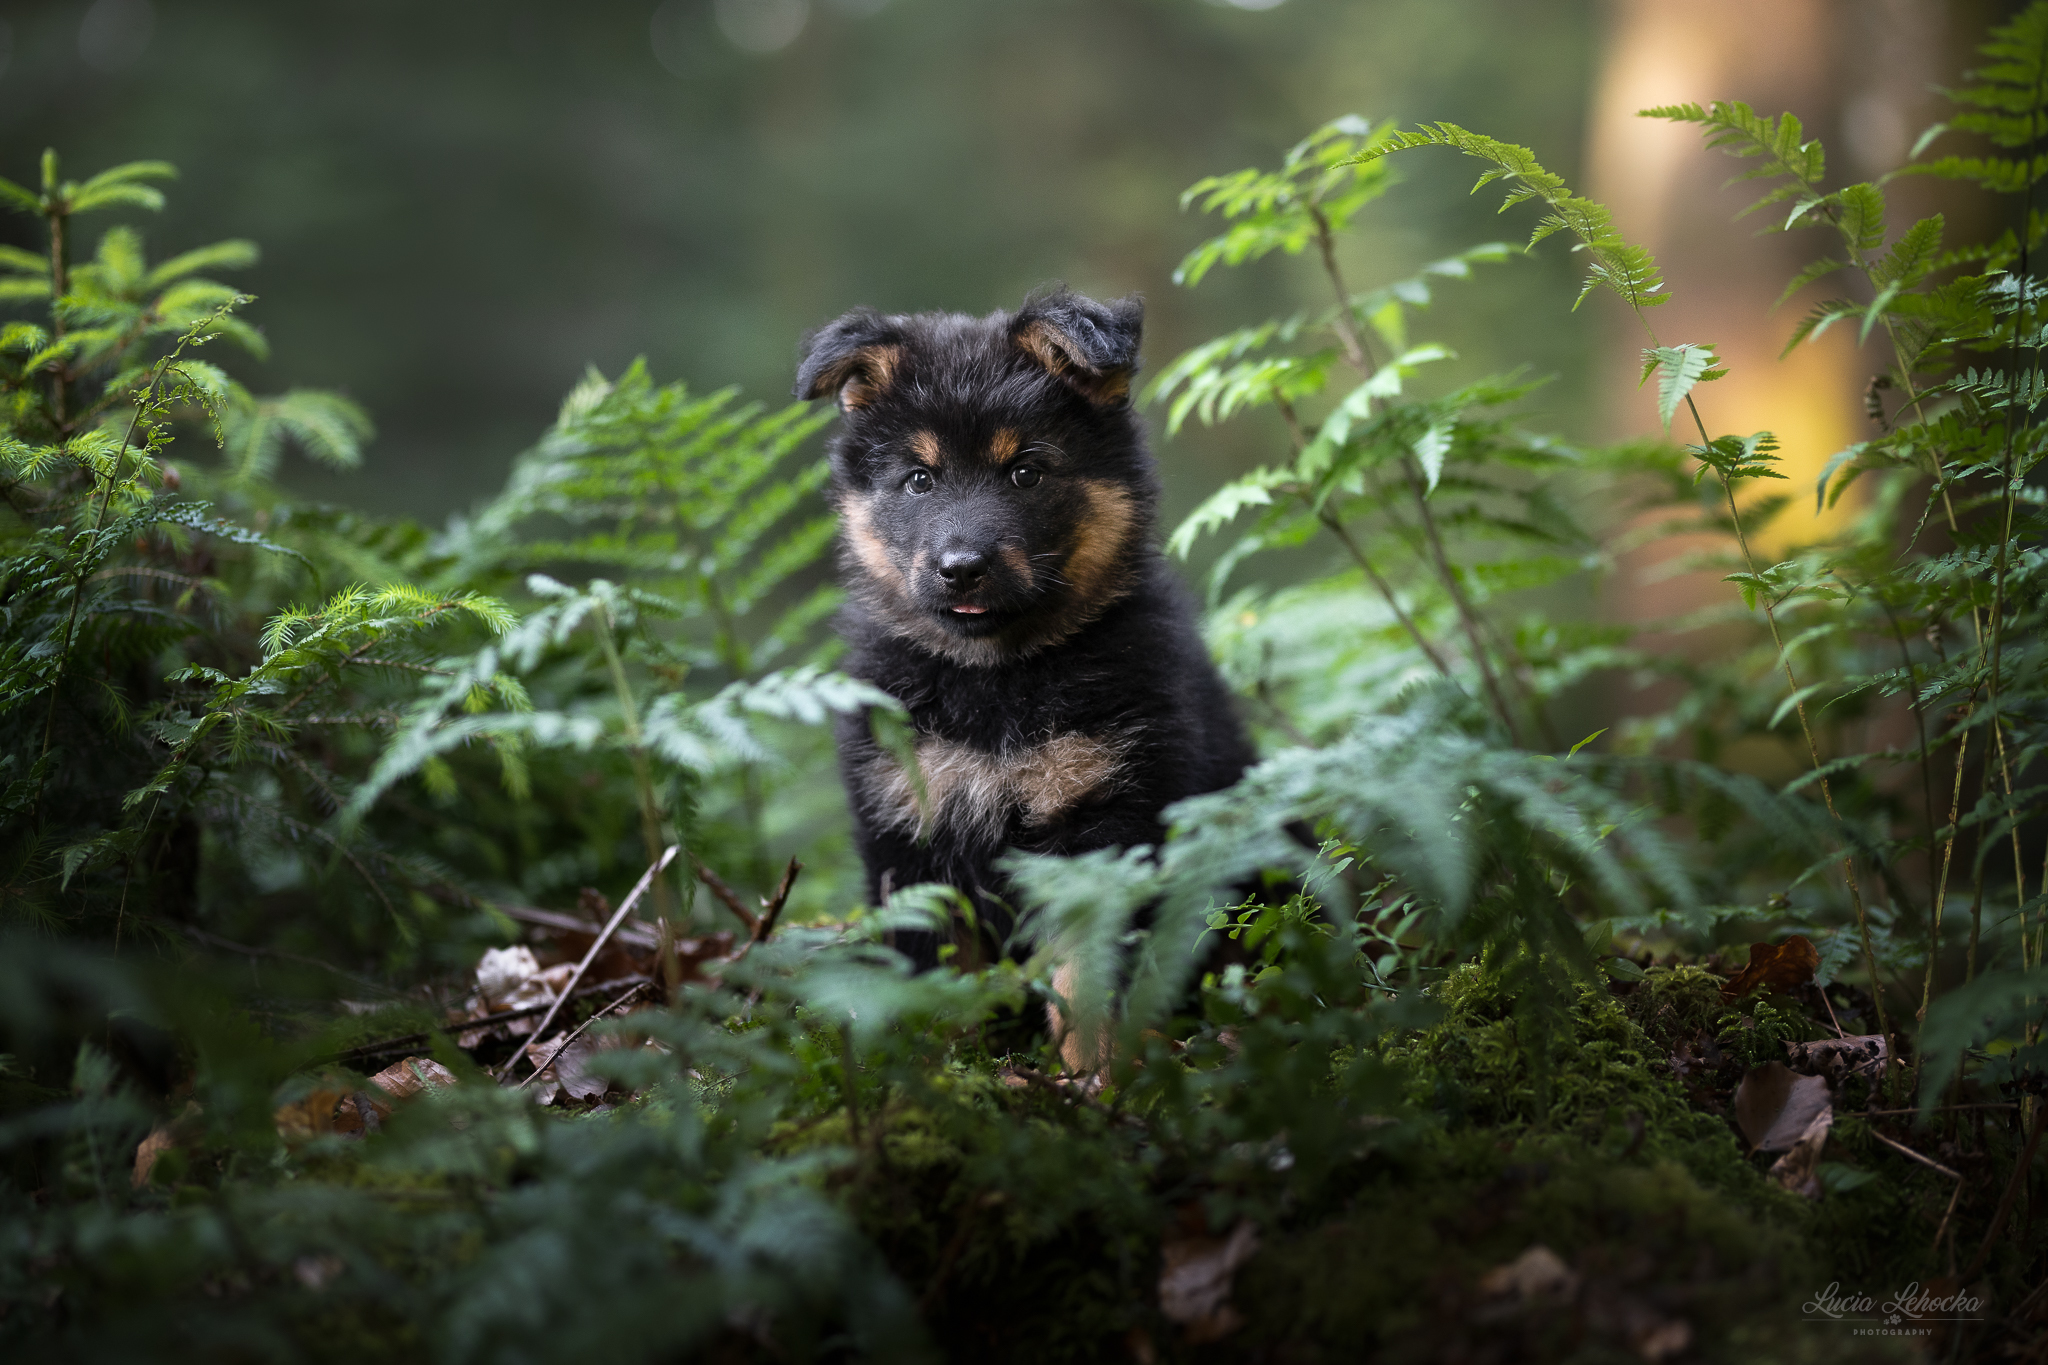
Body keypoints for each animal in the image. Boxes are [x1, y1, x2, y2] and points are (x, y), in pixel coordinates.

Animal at [794, 288, 1245, 970]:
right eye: (919, 479)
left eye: (1025, 473)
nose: (961, 569)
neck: (993, 678)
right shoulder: (906, 830)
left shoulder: (1107, 826)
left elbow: (1086, 983)